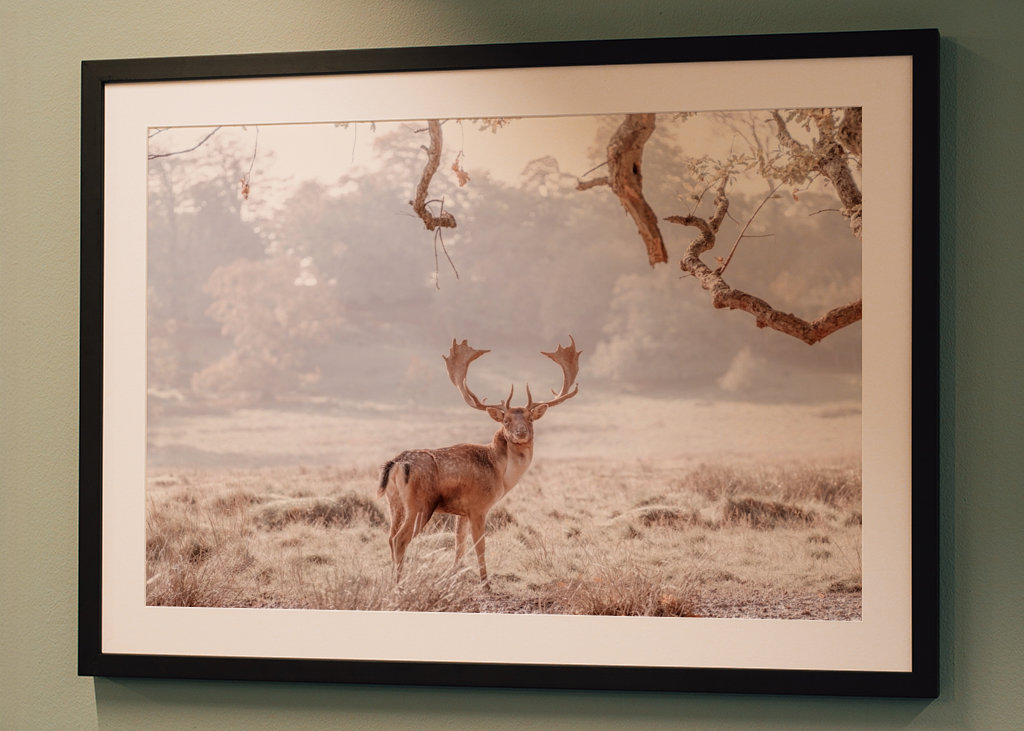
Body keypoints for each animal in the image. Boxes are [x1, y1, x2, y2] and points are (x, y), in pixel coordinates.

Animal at [377, 337, 581, 587]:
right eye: (506, 419)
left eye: (530, 418)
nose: (521, 432)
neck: (501, 475)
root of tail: (396, 465)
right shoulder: (478, 506)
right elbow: (479, 545)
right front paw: (485, 582)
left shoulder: (461, 511)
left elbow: (459, 545)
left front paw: (452, 576)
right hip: (420, 504)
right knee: (400, 539)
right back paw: (400, 584)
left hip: (394, 502)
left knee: (389, 537)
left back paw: (391, 580)